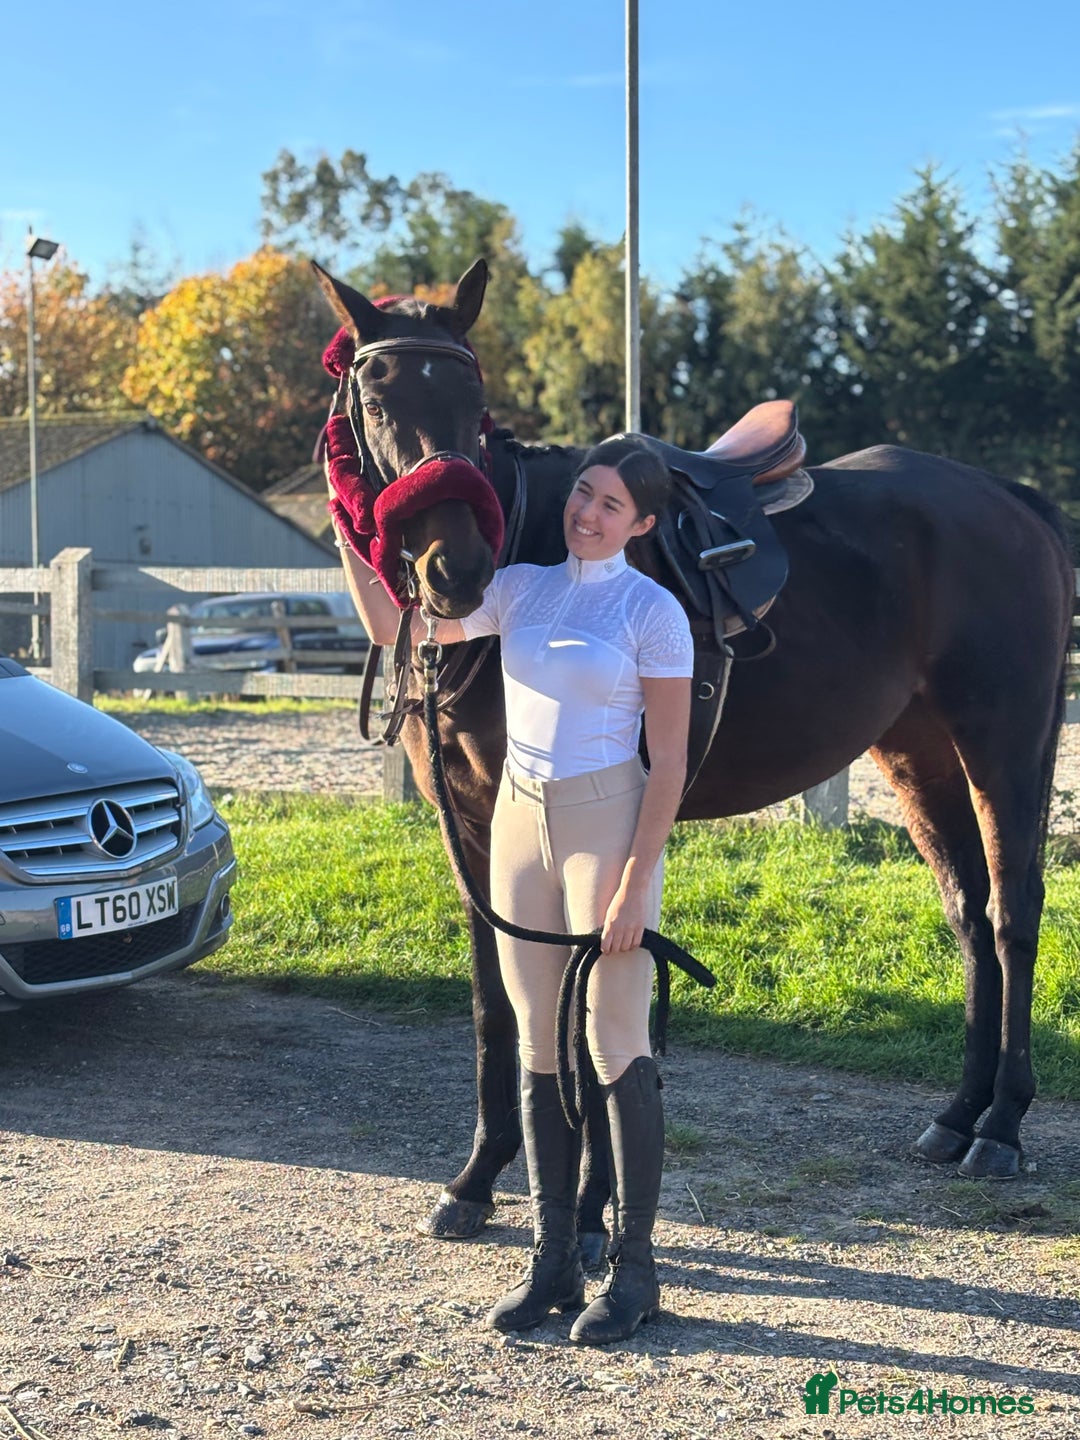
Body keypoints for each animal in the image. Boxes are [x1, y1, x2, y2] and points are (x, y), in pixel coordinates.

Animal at [314, 258, 1075, 1249]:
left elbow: (586, 1004)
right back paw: (956, 1117)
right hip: (918, 752)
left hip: (1003, 737)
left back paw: (1002, 1126)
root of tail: (1010, 499)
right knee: (969, 912)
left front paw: (589, 1210)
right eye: (375, 396)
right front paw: (480, 1178)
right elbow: (498, 1004)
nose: (458, 568)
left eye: (472, 395)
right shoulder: (474, 824)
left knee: (1014, 913)